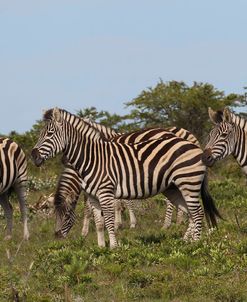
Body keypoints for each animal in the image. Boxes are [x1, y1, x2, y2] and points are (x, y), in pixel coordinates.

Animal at [53, 121, 200, 239]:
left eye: (66, 215)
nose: (57, 236)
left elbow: (92, 207)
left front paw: (88, 231)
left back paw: (167, 224)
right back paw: (180, 220)